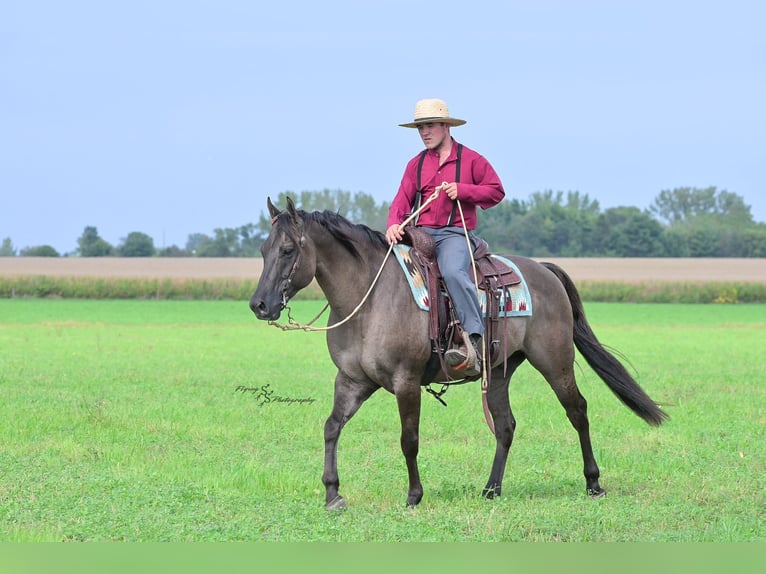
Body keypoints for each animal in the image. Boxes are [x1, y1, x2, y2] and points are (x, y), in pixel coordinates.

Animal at [249, 197, 668, 509]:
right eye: (263, 249)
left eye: (287, 249)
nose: (259, 304)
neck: (369, 297)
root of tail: (544, 271)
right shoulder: (353, 380)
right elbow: (331, 427)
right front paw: (333, 493)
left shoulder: (406, 382)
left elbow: (409, 438)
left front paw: (414, 496)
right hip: (499, 372)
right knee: (506, 425)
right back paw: (491, 489)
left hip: (555, 361)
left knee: (577, 410)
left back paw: (593, 483)